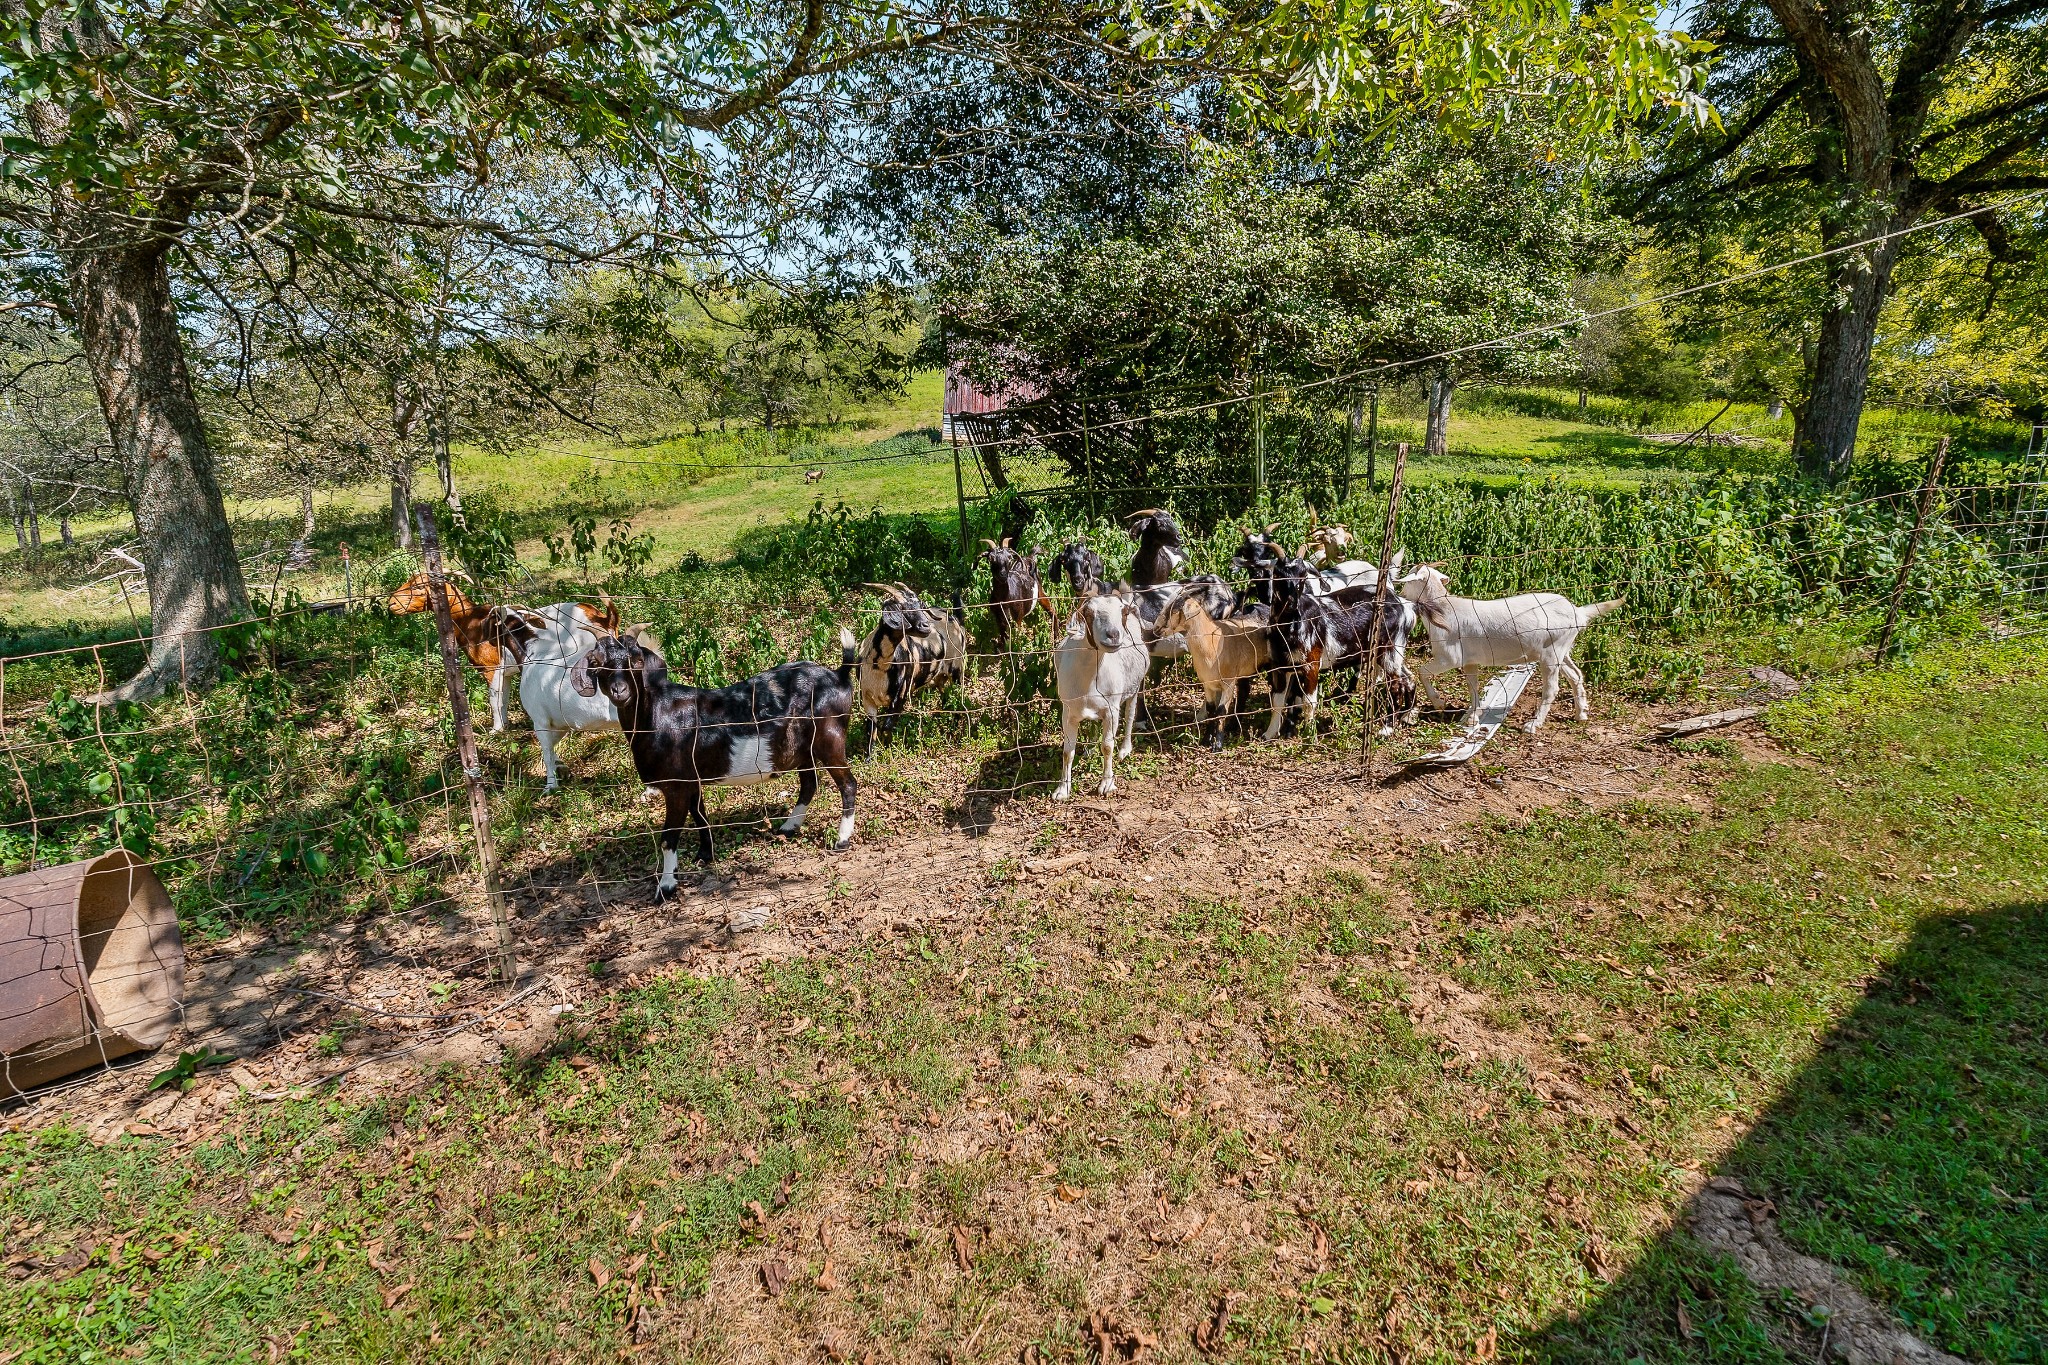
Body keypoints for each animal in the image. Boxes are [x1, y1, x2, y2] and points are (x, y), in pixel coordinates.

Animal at [385, 573, 540, 732]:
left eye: (419, 585)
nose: (391, 603)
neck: (470, 620)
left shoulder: (492, 667)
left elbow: (494, 700)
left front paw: (496, 729)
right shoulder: (505, 673)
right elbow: (504, 699)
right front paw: (504, 726)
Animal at [569, 630, 856, 896]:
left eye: (637, 660)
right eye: (596, 663)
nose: (620, 691)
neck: (657, 717)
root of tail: (839, 675)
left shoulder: (676, 785)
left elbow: (668, 837)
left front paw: (666, 887)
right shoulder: (691, 779)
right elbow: (700, 815)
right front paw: (704, 856)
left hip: (829, 738)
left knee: (847, 783)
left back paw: (841, 840)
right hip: (803, 751)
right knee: (809, 783)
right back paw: (788, 828)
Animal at [851, 581, 970, 757]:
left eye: (921, 606)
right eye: (902, 608)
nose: (926, 626)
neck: (879, 665)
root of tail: (955, 619)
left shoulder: (900, 695)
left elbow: (886, 727)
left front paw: (889, 751)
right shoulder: (867, 698)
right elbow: (871, 730)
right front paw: (870, 759)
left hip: (957, 668)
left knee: (958, 696)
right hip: (938, 677)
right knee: (946, 695)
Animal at [1056, 593, 1155, 802]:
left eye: (1122, 612)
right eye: (1089, 613)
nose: (1113, 634)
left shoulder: (1111, 710)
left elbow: (1108, 746)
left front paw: (1106, 785)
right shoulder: (1068, 711)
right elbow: (1068, 751)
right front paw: (1062, 790)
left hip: (1134, 688)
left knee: (1130, 716)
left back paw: (1125, 750)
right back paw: (1090, 750)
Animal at [1400, 564, 1622, 732]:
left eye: (1409, 581)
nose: (1399, 595)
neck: (1442, 611)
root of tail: (1578, 612)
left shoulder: (1449, 657)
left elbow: (1422, 672)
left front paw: (1439, 703)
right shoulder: (1470, 660)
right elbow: (1473, 686)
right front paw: (1472, 716)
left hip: (1551, 653)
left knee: (1552, 688)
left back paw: (1533, 724)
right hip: (1562, 649)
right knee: (1576, 674)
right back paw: (1581, 714)